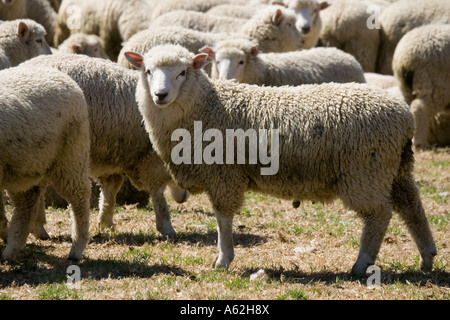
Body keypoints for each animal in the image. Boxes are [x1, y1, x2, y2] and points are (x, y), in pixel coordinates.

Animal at [0, 63, 91, 262]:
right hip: (26, 165)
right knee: (27, 202)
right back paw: (13, 246)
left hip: (71, 154)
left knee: (79, 196)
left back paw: (77, 247)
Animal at [21, 53, 188, 238]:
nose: (184, 198)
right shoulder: (150, 158)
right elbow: (157, 192)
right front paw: (166, 227)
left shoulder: (110, 156)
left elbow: (111, 189)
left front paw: (105, 222)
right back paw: (38, 227)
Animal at [123, 43, 436, 276]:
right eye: (147, 71)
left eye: (183, 72)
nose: (160, 95)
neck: (206, 107)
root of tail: (404, 115)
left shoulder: (224, 174)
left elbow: (223, 218)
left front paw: (223, 259)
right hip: (395, 167)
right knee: (411, 205)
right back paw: (427, 256)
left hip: (365, 170)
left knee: (379, 215)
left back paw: (361, 264)